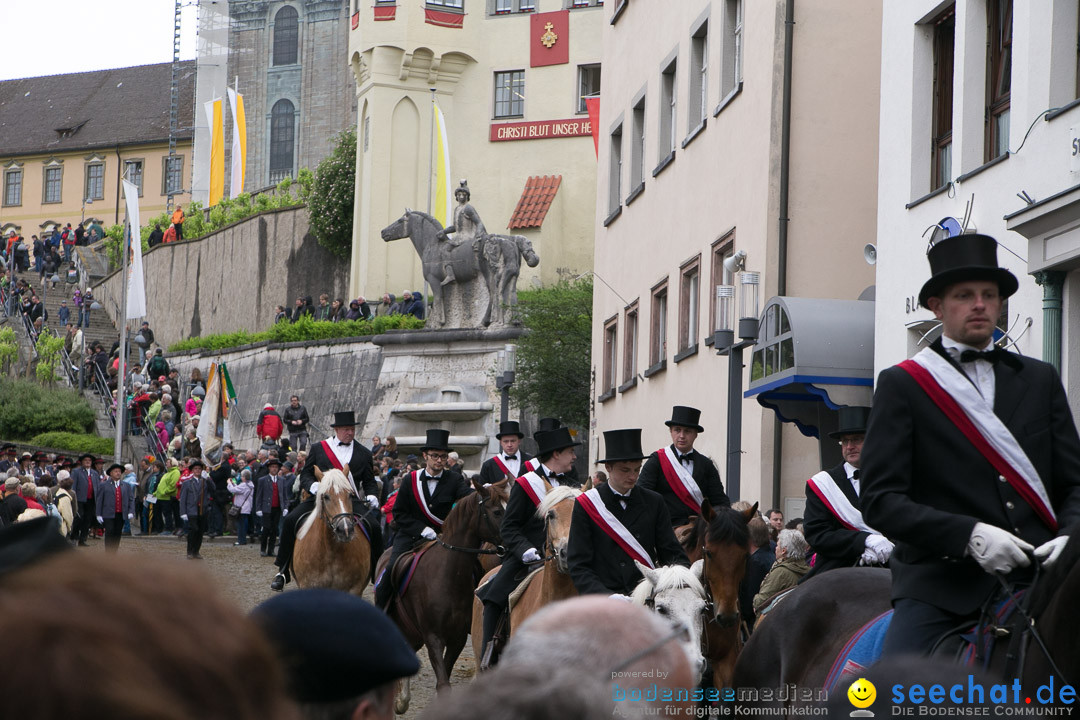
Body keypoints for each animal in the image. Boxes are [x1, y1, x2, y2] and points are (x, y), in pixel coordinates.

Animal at [378, 479, 507, 716]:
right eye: (496, 511)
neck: (448, 574)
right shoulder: (433, 637)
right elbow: (443, 683)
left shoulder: (457, 638)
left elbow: (444, 681)